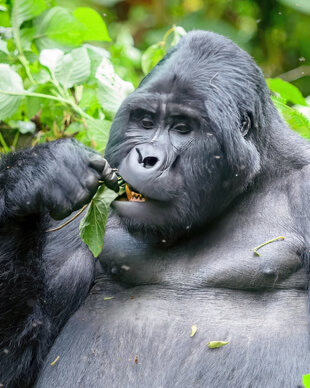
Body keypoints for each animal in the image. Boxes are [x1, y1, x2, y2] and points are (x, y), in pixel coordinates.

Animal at [0, 31, 310, 388]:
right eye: (146, 122)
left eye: (182, 128)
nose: (146, 158)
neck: (257, 173)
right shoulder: (70, 224)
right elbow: (19, 356)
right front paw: (35, 174)